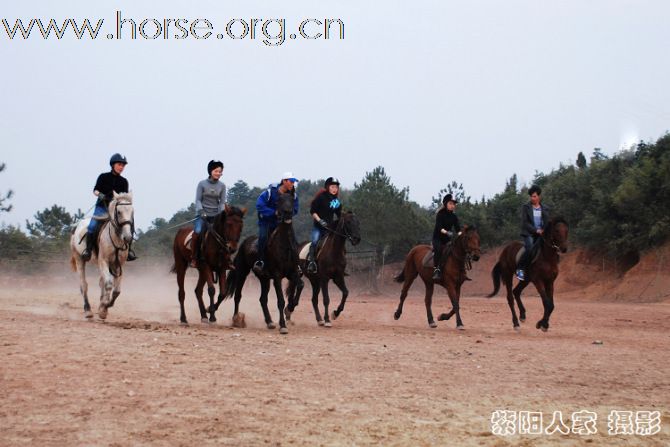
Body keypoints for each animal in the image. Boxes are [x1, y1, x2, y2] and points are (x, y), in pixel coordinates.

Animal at [69, 191, 135, 320]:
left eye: (132, 211)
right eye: (119, 212)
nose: (127, 237)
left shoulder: (118, 265)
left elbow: (116, 290)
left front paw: (104, 307)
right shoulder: (104, 261)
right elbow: (109, 284)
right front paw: (104, 307)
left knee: (101, 282)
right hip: (79, 258)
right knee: (84, 285)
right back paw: (88, 310)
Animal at [219, 192, 300, 336]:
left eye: (292, 199)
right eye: (279, 200)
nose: (287, 212)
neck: (285, 245)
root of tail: (244, 242)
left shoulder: (293, 272)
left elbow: (297, 286)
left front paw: (290, 307)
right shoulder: (277, 276)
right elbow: (280, 300)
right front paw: (283, 325)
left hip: (264, 279)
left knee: (262, 299)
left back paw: (269, 322)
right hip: (242, 273)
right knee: (238, 296)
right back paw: (236, 320)